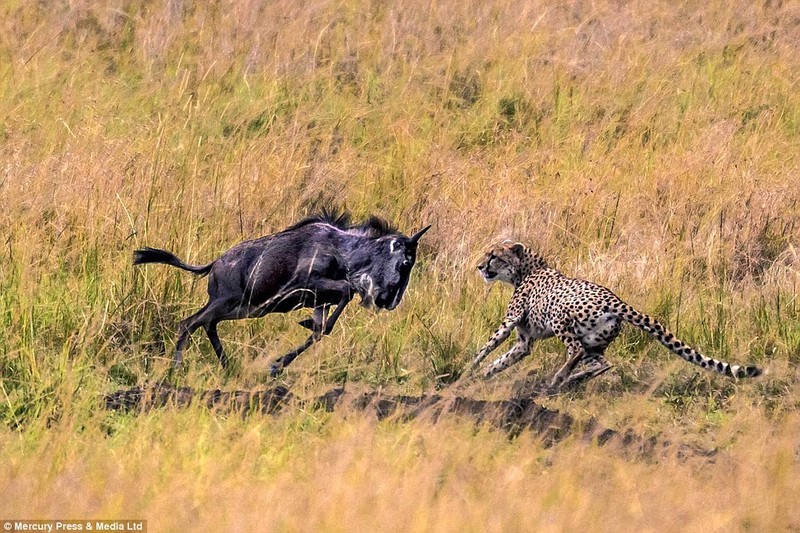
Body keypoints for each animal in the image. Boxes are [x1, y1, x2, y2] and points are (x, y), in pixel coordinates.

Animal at [476, 241, 764, 386]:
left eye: (494, 256)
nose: (479, 266)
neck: (527, 268)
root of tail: (616, 300)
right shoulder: (524, 342)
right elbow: (502, 360)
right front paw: (481, 376)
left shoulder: (510, 320)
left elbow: (487, 346)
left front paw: (470, 370)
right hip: (595, 342)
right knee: (602, 363)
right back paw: (573, 379)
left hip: (560, 316)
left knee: (575, 351)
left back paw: (560, 377)